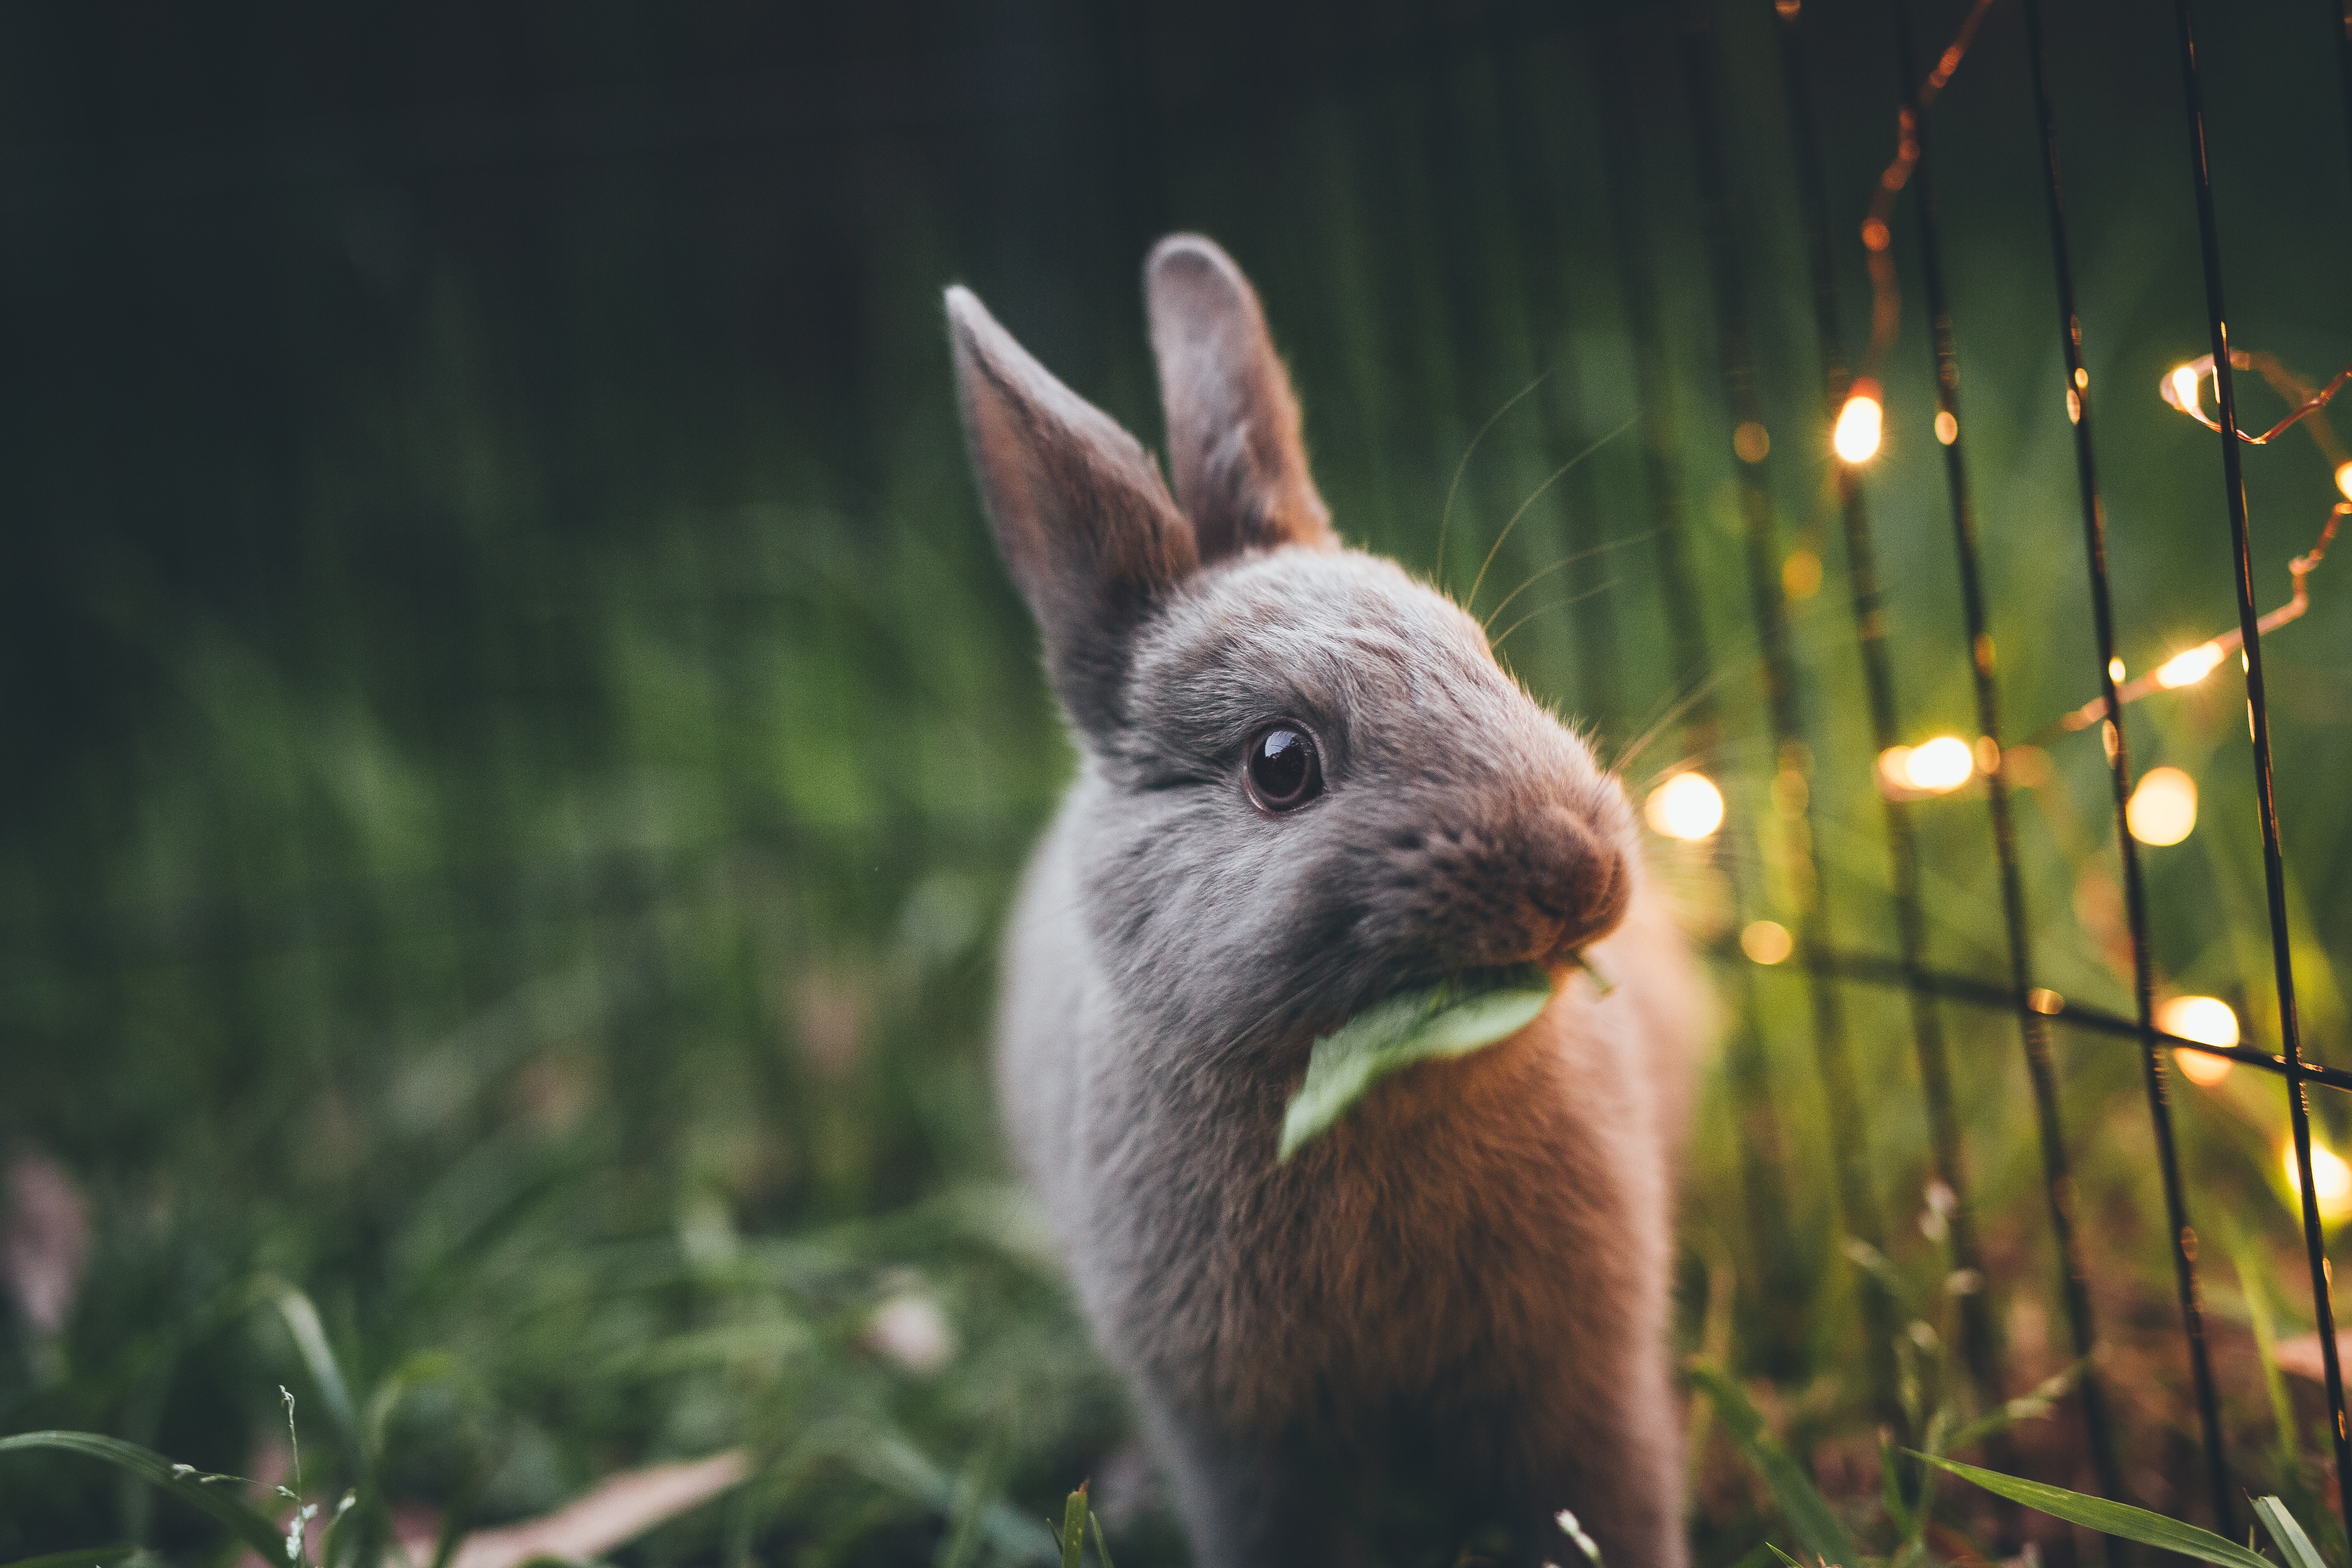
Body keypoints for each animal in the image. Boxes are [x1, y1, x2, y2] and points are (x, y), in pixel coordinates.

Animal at [945, 236, 1703, 1568]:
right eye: (1279, 763)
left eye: (1482, 651)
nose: (1580, 874)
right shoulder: (1242, 1434)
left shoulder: (1584, 1376)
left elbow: (1608, 1495)